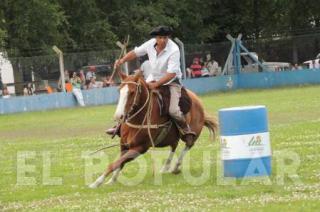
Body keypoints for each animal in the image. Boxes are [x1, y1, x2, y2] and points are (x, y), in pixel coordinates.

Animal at [89, 72, 218, 188]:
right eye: (119, 90)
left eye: (132, 92)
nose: (118, 116)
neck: (138, 119)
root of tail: (197, 100)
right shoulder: (124, 145)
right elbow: (120, 162)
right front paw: (111, 180)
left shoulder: (140, 148)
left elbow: (116, 163)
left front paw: (96, 182)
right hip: (173, 137)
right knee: (174, 146)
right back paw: (165, 167)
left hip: (191, 133)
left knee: (188, 144)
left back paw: (176, 167)